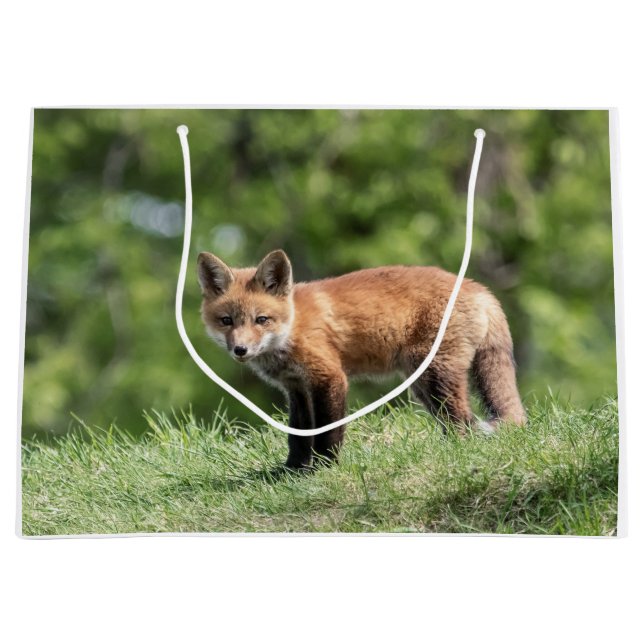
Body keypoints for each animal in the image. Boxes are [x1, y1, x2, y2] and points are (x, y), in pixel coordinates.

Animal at [197, 249, 526, 469]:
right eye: (226, 321)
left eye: (261, 319)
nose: (240, 350)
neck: (292, 326)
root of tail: (479, 287)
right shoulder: (296, 388)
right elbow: (298, 436)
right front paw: (291, 471)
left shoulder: (329, 378)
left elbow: (328, 432)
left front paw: (323, 469)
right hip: (421, 382)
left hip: (435, 375)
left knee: (462, 421)